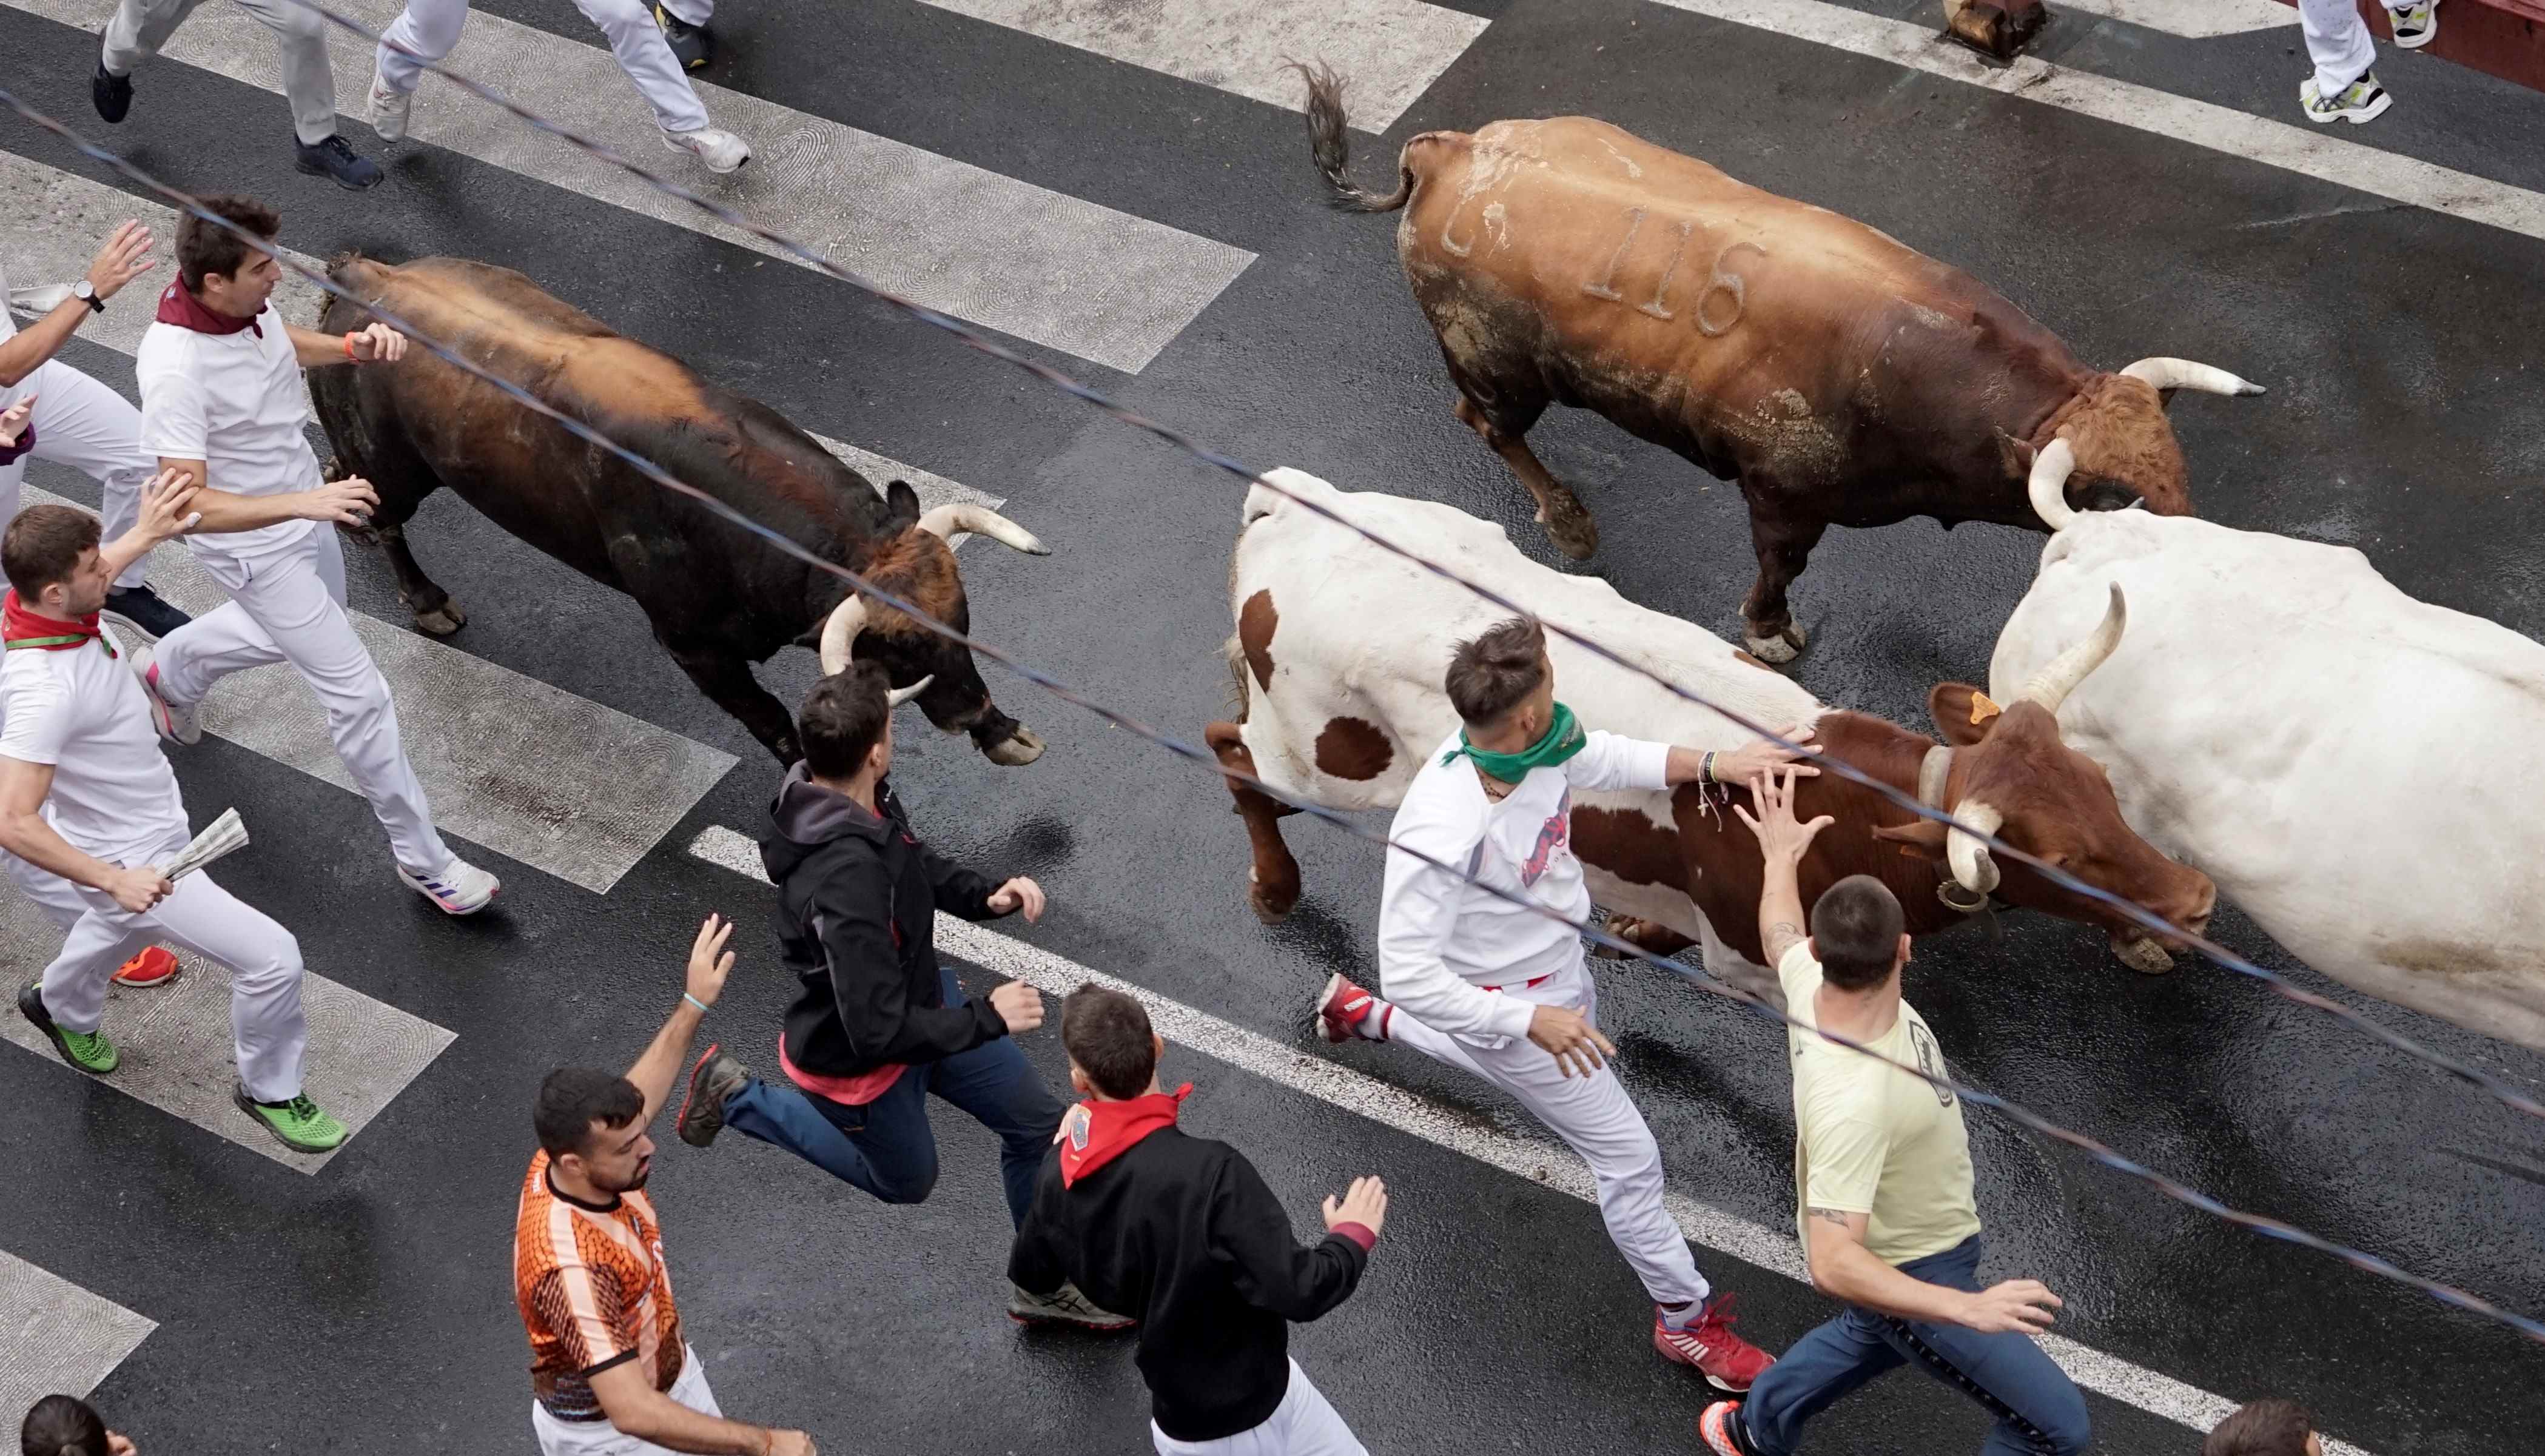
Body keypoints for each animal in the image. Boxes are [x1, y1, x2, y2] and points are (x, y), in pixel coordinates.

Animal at [305, 255, 1043, 768]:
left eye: (962, 621)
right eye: (899, 650)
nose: (970, 711)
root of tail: (367, 273)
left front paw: (1005, 732)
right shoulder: (694, 648)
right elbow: (773, 721)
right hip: (397, 470)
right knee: (387, 514)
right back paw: (426, 599)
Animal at [1303, 65, 2260, 662]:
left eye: (2180, 477)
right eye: (2103, 500)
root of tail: (1448, 150)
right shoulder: (1782, 493)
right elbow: (1780, 566)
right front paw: (1768, 633)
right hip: (1497, 369)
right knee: (1485, 424)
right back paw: (1570, 523)